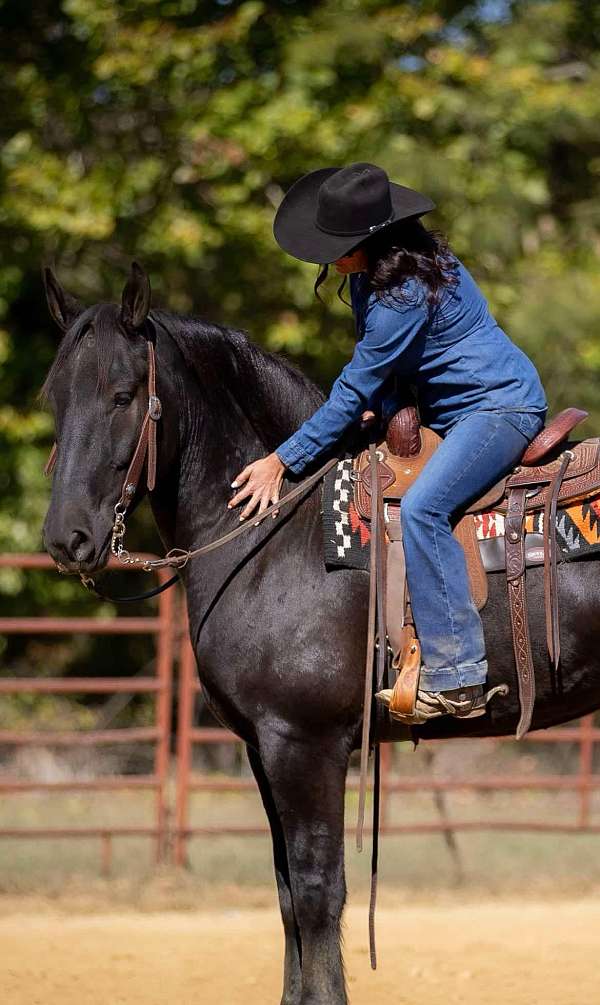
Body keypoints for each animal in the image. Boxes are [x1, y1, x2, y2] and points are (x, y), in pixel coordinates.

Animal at [42, 265, 598, 1005]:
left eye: (123, 395)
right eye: (55, 396)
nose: (66, 538)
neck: (281, 529)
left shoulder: (304, 744)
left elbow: (315, 894)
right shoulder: (263, 747)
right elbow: (285, 896)